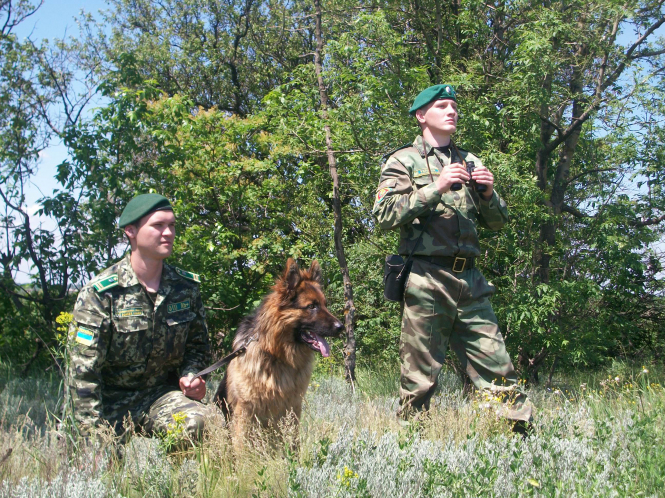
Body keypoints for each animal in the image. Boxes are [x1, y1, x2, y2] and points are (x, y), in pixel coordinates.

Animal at [215, 258, 344, 442]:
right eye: (312, 306)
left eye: (325, 305)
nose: (341, 327)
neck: (276, 353)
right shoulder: (244, 409)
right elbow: (241, 445)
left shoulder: (292, 407)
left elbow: (293, 442)